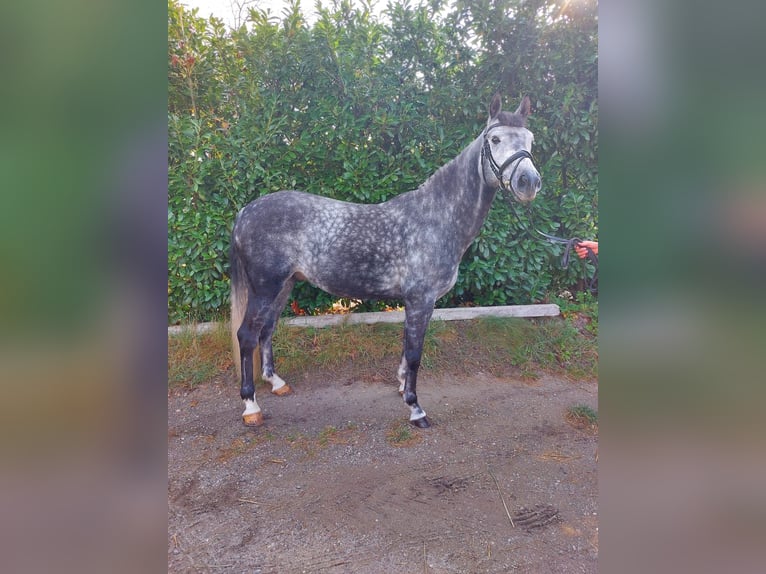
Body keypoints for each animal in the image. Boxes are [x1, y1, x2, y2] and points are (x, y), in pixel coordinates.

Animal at [230, 93, 541, 428]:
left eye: (530, 140)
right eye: (495, 139)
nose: (528, 182)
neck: (436, 217)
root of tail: (246, 212)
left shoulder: (417, 302)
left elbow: (407, 350)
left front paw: (403, 386)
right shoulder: (420, 299)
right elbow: (415, 354)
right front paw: (416, 409)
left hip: (284, 285)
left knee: (267, 330)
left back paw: (276, 383)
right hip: (265, 288)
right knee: (247, 335)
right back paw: (251, 407)